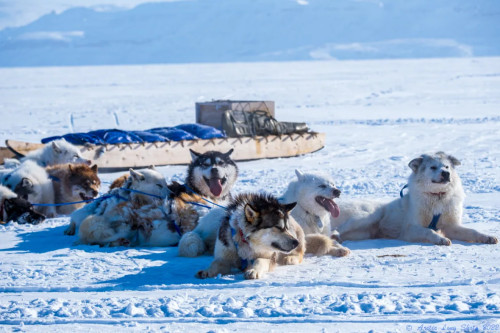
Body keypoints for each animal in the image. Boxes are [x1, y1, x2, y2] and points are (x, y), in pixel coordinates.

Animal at [330, 152, 498, 245]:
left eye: (447, 167)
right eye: (433, 167)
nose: (446, 174)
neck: (437, 197)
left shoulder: (451, 226)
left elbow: (472, 231)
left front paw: (487, 237)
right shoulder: (410, 228)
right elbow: (428, 231)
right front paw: (440, 239)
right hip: (367, 216)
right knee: (337, 229)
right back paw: (335, 236)